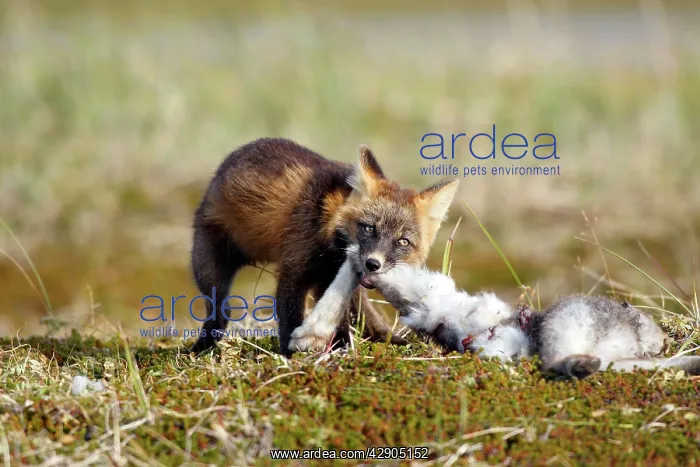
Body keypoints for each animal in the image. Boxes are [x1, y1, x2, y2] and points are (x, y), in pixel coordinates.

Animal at [189, 138, 459, 356]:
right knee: (218, 312)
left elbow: (343, 322)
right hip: (211, 272)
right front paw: (292, 357)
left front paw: (340, 351)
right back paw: (204, 347)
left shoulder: (328, 279)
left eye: (403, 241)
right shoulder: (294, 271)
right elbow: (290, 319)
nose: (373, 263)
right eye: (369, 228)